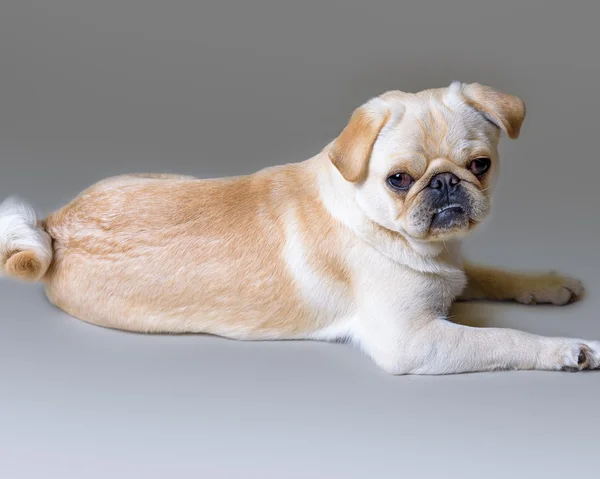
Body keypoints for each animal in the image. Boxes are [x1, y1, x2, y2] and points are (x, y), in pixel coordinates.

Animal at [0, 81, 596, 376]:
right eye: (399, 180)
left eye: (480, 166)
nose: (446, 184)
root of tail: (54, 226)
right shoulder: (415, 341)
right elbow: (504, 337)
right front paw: (568, 350)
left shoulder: (458, 274)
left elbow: (494, 275)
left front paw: (548, 284)